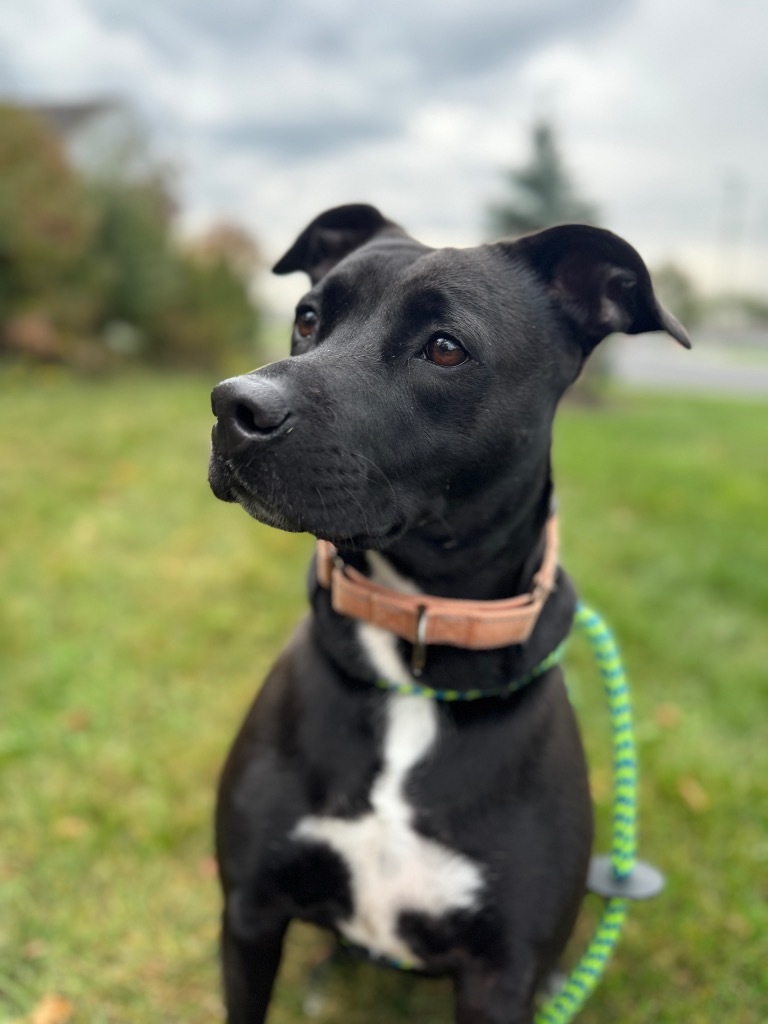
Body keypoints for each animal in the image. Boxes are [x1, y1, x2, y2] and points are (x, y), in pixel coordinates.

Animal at [205, 203, 692, 1019]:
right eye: (308, 318)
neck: (416, 648)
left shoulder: (501, 977)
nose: (235, 406)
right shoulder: (249, 913)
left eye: (443, 348)